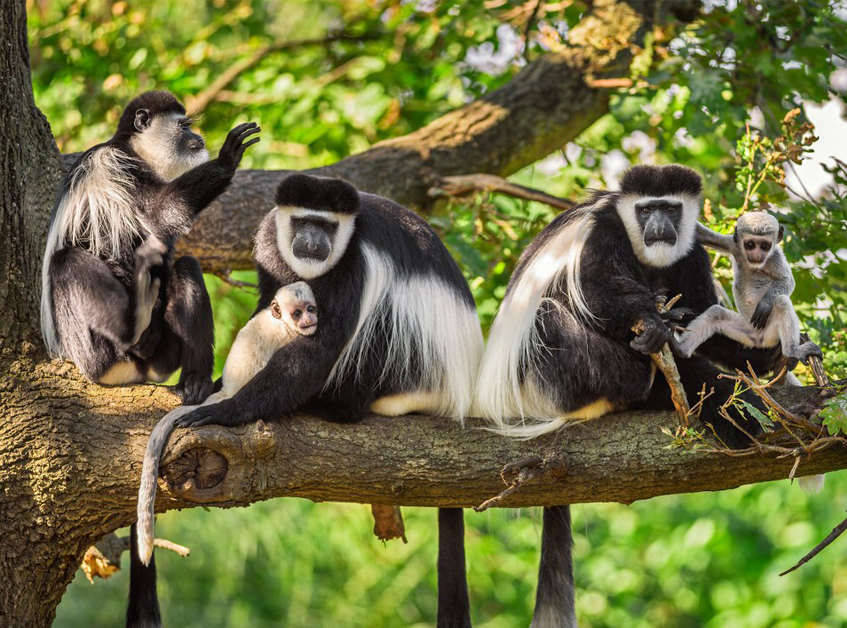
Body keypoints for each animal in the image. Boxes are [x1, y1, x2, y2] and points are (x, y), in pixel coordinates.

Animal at [38, 90, 259, 628]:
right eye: (184, 125)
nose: (198, 137)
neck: (137, 155)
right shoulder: (118, 170)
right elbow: (158, 214)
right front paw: (228, 158)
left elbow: (169, 239)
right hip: (90, 346)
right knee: (71, 262)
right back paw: (127, 327)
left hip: (161, 354)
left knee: (184, 268)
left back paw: (195, 381)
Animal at [136, 282, 318, 567]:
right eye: (297, 313)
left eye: (310, 308)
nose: (309, 319)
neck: (280, 323)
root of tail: (227, 392)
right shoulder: (287, 337)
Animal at [674, 213, 822, 369]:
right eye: (750, 245)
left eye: (765, 246)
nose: (757, 255)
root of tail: (760, 340)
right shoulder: (733, 244)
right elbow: (704, 235)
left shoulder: (775, 257)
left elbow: (787, 281)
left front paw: (765, 304)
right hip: (746, 332)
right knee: (716, 314)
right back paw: (680, 348)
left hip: (770, 332)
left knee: (781, 302)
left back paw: (792, 351)